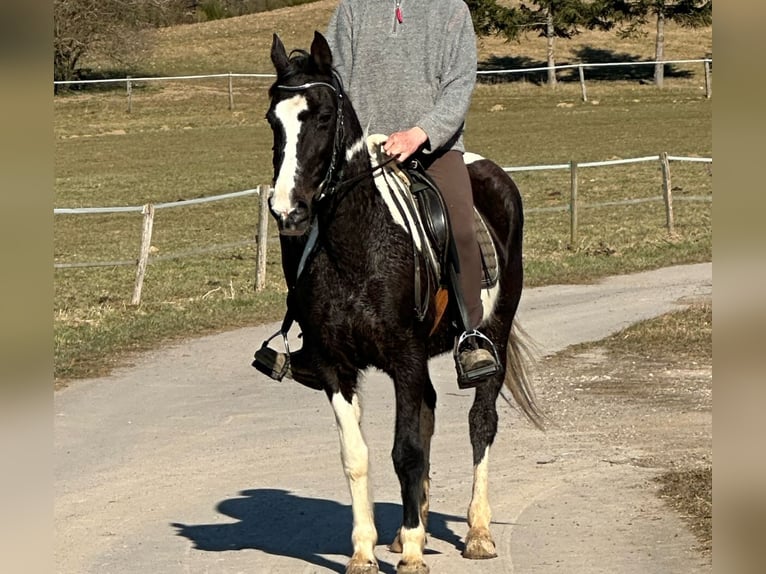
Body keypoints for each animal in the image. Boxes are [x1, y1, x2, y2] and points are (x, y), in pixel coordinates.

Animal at [264, 31, 544, 574]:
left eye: (323, 117)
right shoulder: (336, 367)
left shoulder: (406, 358)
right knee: (431, 411)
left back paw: (477, 533)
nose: (288, 210)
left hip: (493, 333)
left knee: (481, 424)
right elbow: (358, 456)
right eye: (273, 120)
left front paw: (414, 552)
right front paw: (364, 551)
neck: (357, 246)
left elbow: (408, 449)